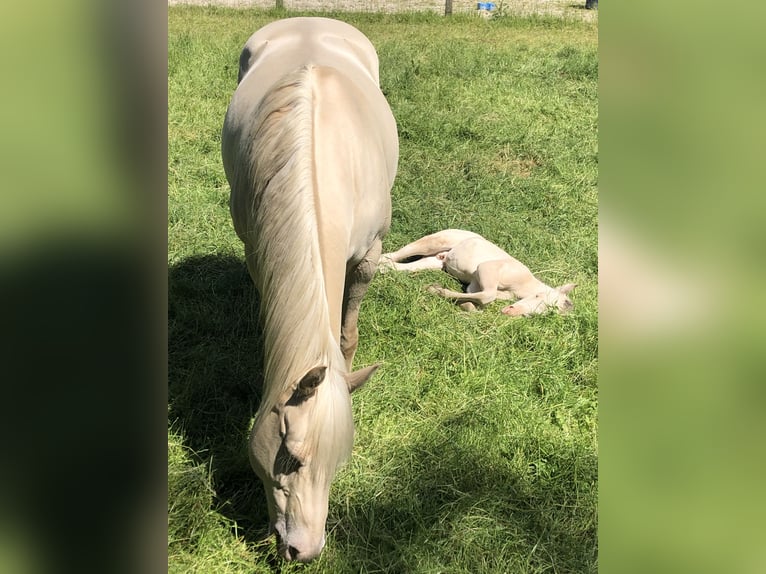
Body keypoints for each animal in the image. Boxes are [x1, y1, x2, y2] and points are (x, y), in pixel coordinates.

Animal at [221, 18, 398, 562]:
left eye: (339, 465)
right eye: (292, 460)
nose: (306, 551)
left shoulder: (369, 255)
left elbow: (348, 326)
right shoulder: (257, 253)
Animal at [379, 229, 576, 316]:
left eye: (545, 312)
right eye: (538, 297)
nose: (510, 312)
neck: (521, 284)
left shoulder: (474, 286)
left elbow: (476, 297)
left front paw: (465, 305)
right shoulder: (487, 268)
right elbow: (487, 296)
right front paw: (435, 289)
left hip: (437, 260)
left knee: (409, 265)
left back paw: (384, 269)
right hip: (436, 241)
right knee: (394, 254)